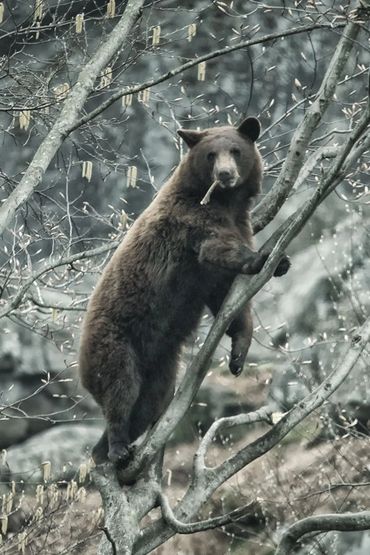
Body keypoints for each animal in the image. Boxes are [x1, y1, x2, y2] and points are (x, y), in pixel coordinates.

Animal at [79, 117, 290, 464]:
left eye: (236, 150)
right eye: (210, 155)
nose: (225, 174)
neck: (226, 203)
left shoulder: (237, 228)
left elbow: (227, 296)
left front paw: (237, 355)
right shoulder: (190, 221)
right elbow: (217, 247)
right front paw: (263, 257)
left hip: (162, 364)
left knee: (150, 400)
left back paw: (109, 450)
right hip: (114, 342)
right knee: (120, 389)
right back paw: (117, 447)